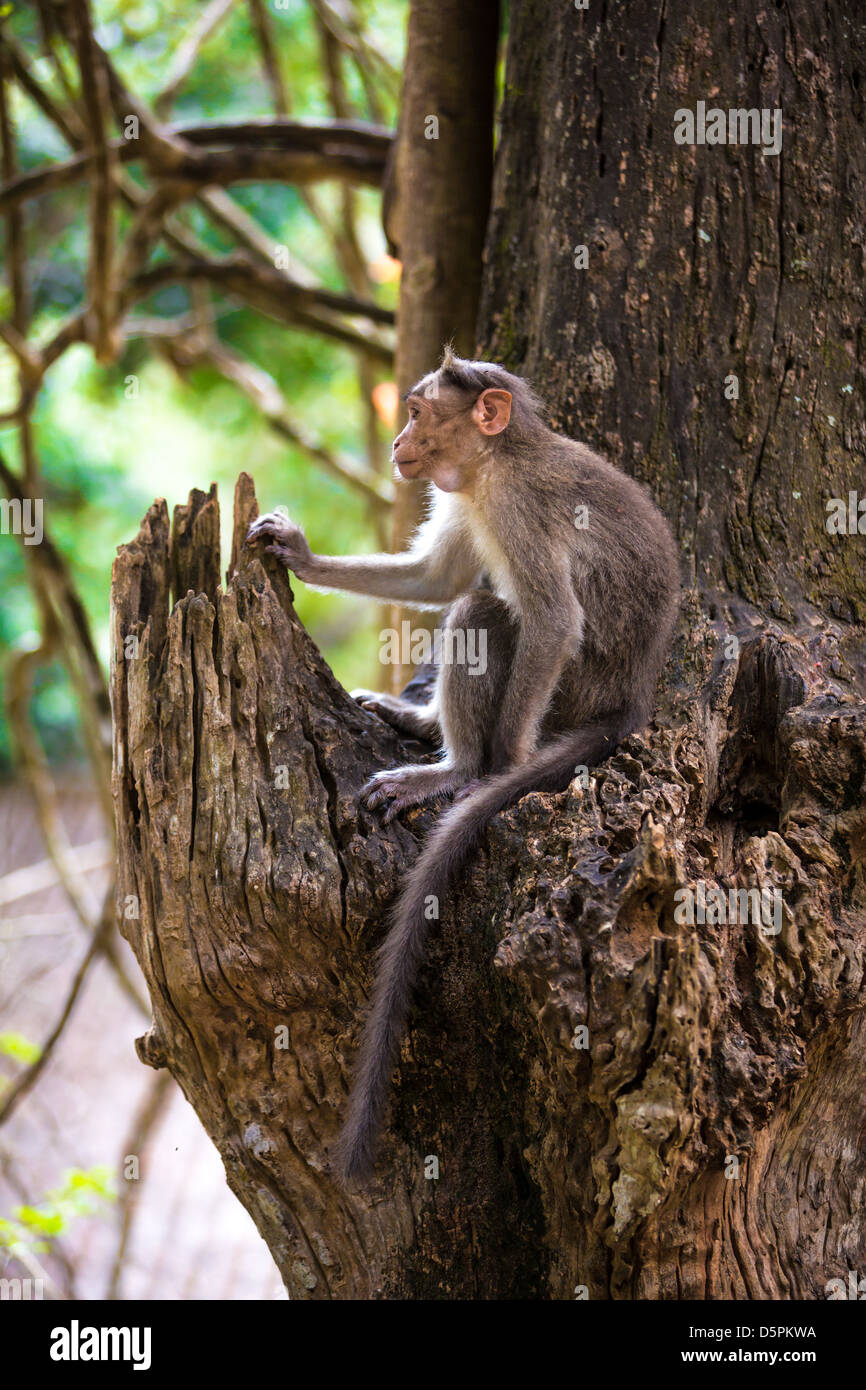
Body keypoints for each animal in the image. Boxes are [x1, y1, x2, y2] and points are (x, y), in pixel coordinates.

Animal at [246, 347, 683, 1184]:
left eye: (417, 412)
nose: (397, 443)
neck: (492, 462)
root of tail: (631, 703)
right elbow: (435, 578)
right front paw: (299, 553)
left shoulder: (518, 506)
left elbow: (551, 621)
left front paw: (492, 771)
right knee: (473, 598)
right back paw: (423, 724)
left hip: (571, 695)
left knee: (489, 614)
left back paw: (457, 766)